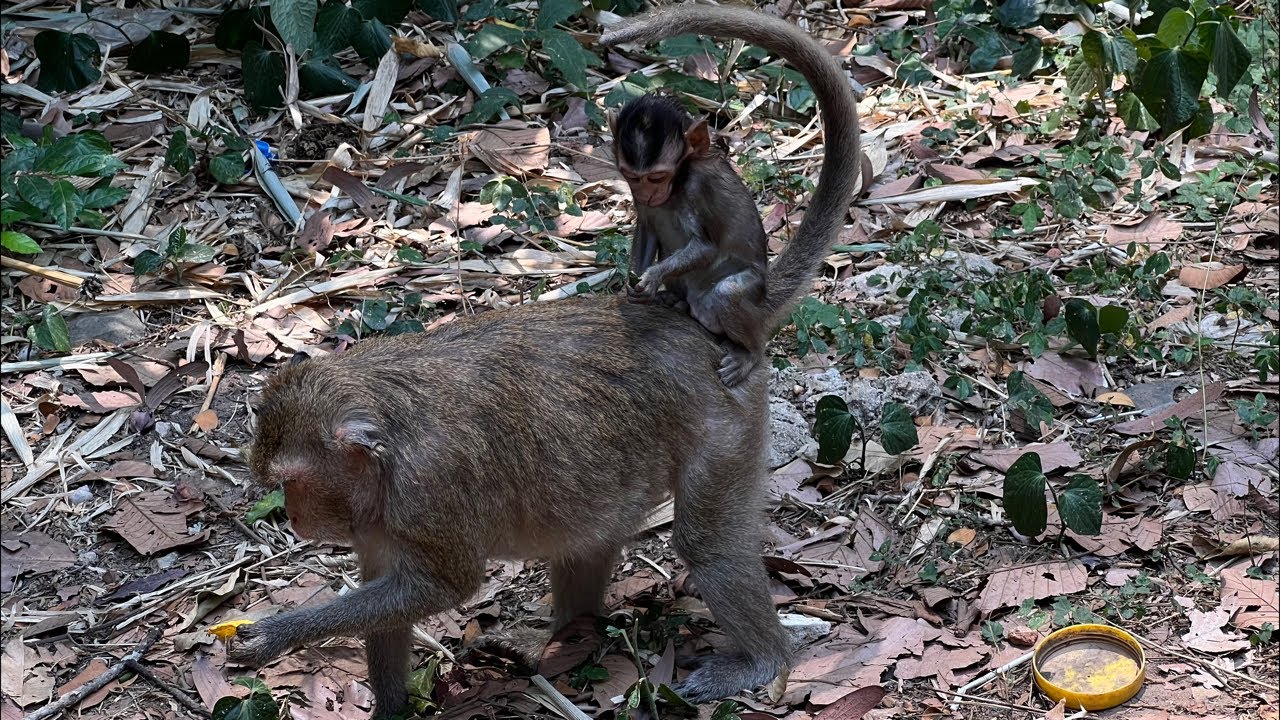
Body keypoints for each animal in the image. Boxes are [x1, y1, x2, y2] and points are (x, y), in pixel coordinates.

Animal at [606, 8, 863, 389]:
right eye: (632, 177)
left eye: (658, 177)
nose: (649, 192)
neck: (678, 184)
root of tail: (764, 299)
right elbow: (648, 229)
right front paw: (635, 282)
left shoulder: (699, 187)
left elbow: (706, 246)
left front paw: (651, 277)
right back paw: (676, 302)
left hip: (741, 299)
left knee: (728, 294)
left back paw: (749, 353)